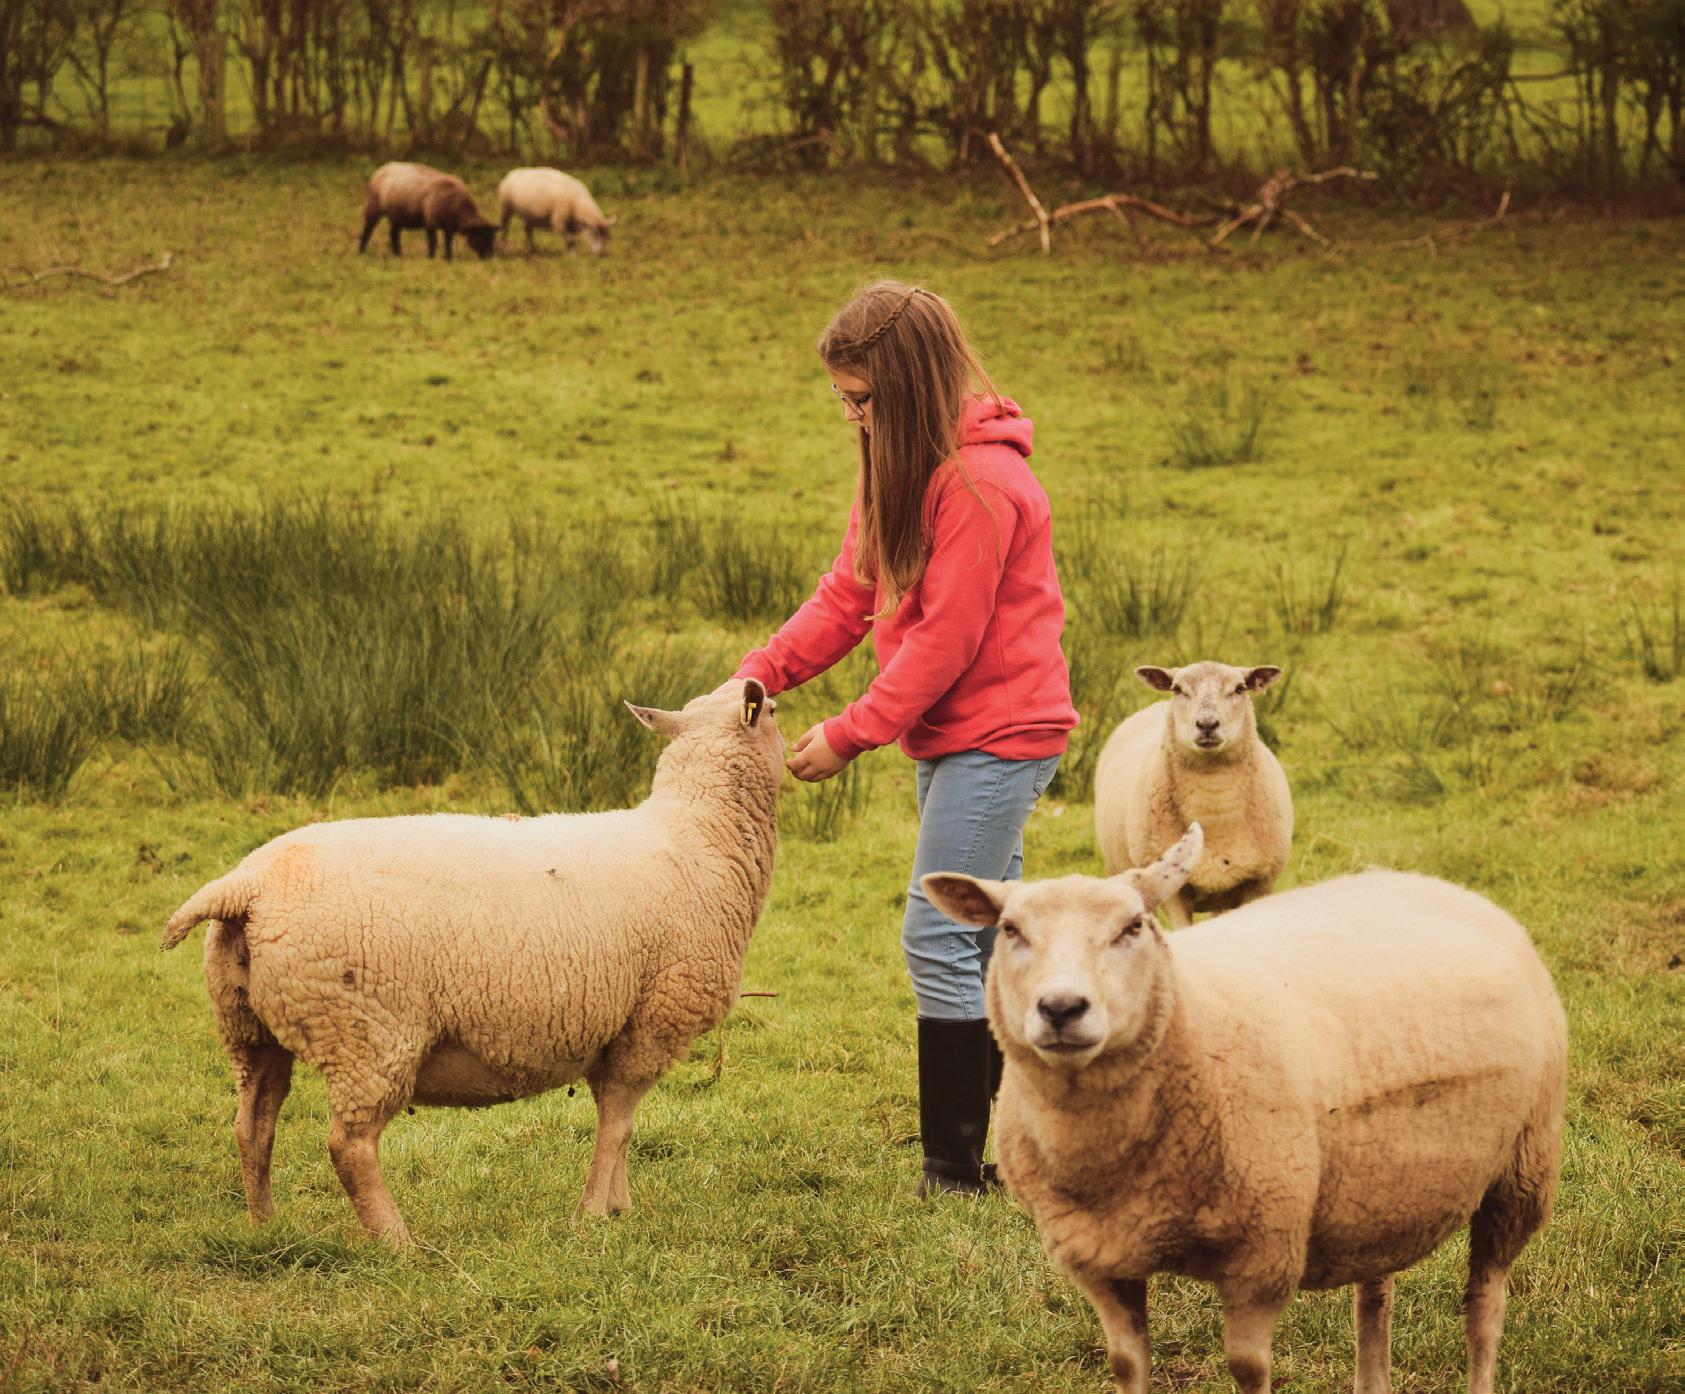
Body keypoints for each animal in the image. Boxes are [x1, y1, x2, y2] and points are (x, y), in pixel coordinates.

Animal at [160, 681, 782, 1247]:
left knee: (253, 1125)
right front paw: (592, 1217)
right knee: (348, 1145)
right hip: (368, 1033)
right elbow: (618, 1122)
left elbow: (619, 1123)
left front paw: (618, 1206)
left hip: (249, 1026)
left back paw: (264, 1224)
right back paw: (396, 1242)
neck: (700, 834)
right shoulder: (651, 1020)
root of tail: (247, 886)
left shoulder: (616, 1028)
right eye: (774, 710)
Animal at [358, 162, 497, 261]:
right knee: (368, 229)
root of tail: (383, 167)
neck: (457, 207)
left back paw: (398, 254)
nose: (489, 257)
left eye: (491, 238)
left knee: (393, 234)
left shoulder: (448, 226)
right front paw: (431, 257)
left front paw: (448, 258)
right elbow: (433, 241)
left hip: (397, 215)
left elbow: (448, 242)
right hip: (374, 206)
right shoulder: (431, 221)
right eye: (481, 237)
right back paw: (361, 251)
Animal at [922, 826, 1566, 1394]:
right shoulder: (1100, 1259)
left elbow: (1248, 1370)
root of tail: (1441, 886)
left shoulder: (1263, 1255)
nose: (1061, 1007)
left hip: (1522, 1170)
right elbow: (1127, 1365)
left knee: (1484, 1305)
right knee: (1375, 1294)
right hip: (1379, 1184)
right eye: (1010, 929)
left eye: (1133, 926)